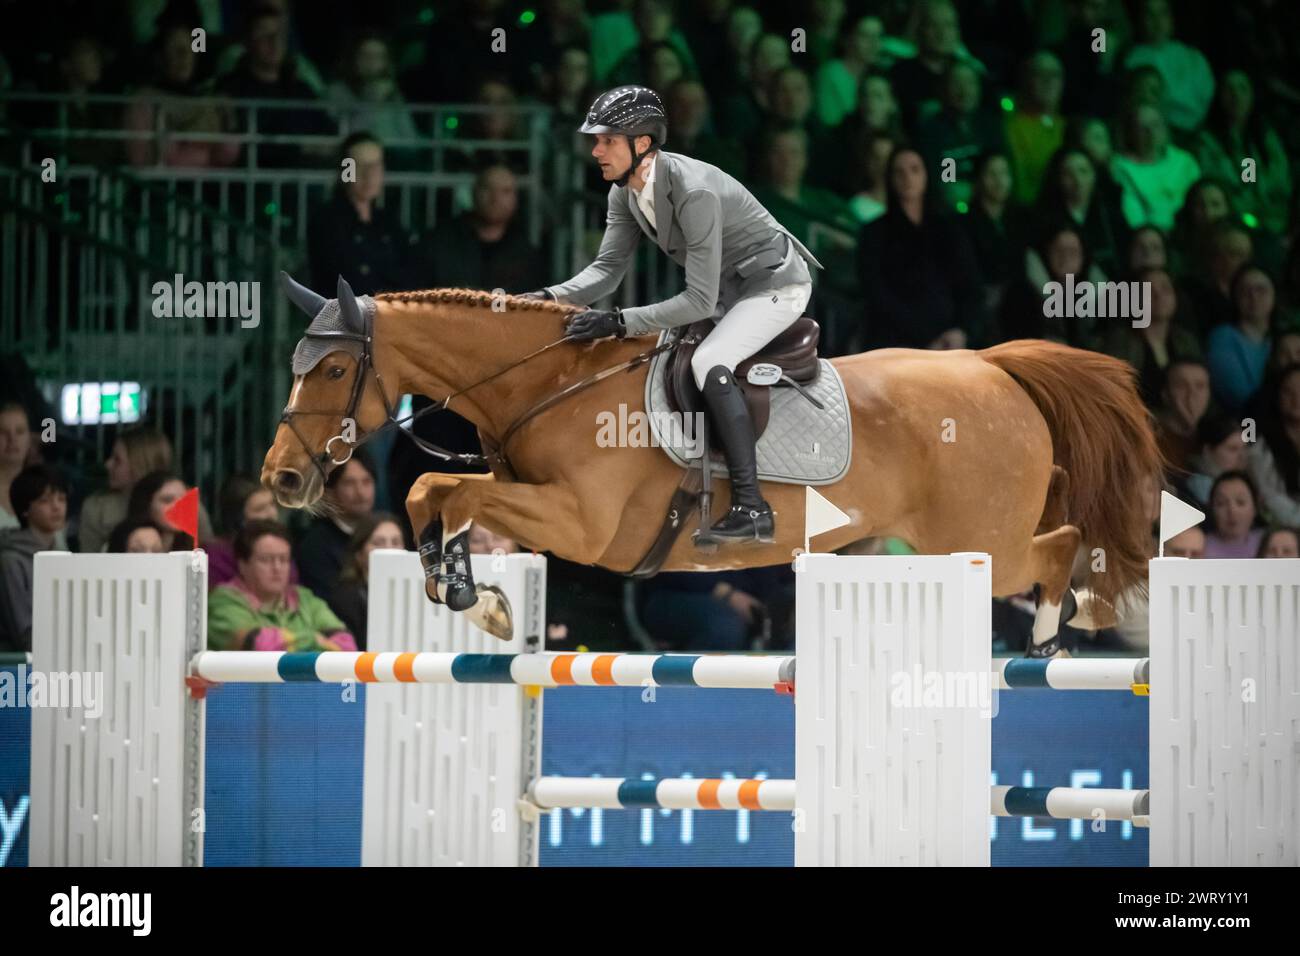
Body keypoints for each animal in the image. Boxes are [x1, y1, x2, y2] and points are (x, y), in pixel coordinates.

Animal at [261, 277, 1159, 650]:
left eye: (332, 370)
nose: (282, 479)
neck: (550, 382)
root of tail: (995, 367)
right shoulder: (531, 500)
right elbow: (432, 494)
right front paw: (471, 596)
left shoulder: (582, 524)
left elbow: (440, 484)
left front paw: (468, 593)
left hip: (979, 541)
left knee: (1059, 545)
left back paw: (1059, 626)